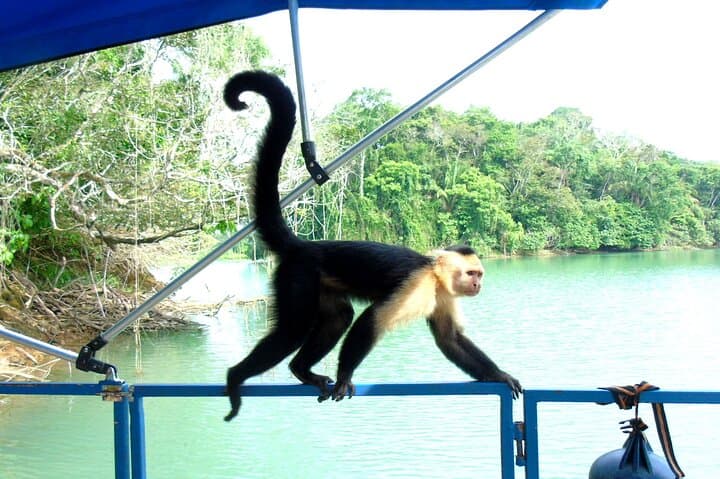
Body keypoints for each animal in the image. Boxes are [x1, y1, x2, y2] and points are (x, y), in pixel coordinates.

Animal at [223, 71, 522, 422]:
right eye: (473, 273)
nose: (478, 285)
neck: (435, 277)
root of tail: (303, 245)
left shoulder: (443, 295)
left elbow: (450, 339)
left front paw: (499, 374)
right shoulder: (418, 284)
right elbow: (371, 321)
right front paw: (344, 376)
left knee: (338, 317)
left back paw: (301, 370)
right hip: (299, 274)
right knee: (294, 329)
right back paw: (236, 376)